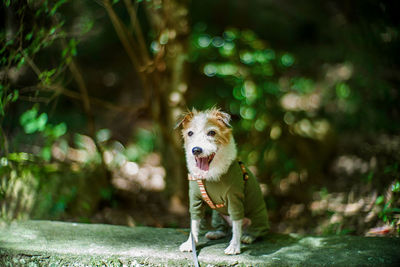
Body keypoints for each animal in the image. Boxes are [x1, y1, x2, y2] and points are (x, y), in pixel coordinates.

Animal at [175, 108, 268, 255]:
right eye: (190, 133)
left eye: (212, 132)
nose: (196, 150)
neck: (209, 175)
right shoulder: (195, 200)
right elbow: (194, 223)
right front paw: (190, 243)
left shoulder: (235, 199)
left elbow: (236, 226)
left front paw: (234, 246)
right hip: (218, 215)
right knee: (224, 228)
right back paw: (216, 233)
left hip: (257, 217)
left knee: (254, 230)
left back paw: (248, 236)